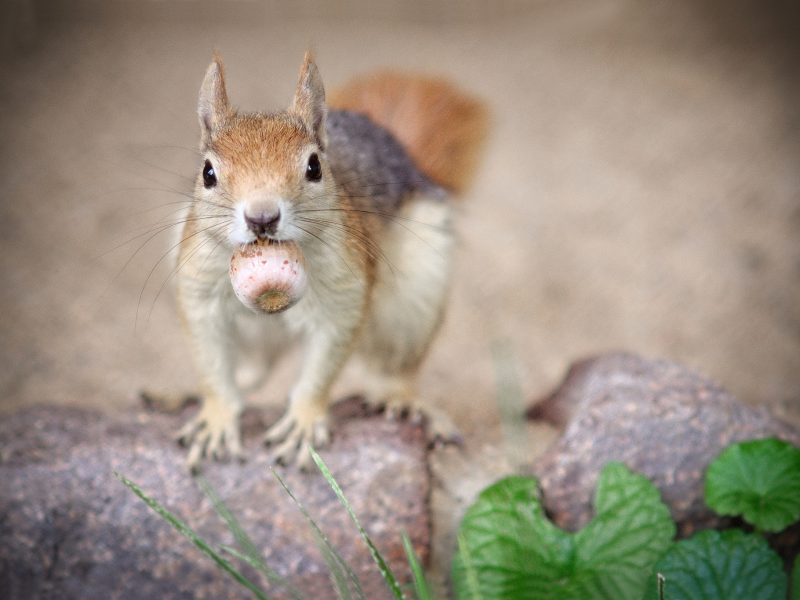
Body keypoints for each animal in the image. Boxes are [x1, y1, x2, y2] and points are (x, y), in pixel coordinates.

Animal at [176, 51, 488, 472]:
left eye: (314, 167)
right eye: (207, 172)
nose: (262, 217)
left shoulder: (346, 286)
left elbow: (327, 358)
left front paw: (304, 421)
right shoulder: (200, 286)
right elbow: (209, 357)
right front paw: (216, 418)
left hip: (414, 300)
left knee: (392, 370)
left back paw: (405, 402)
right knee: (259, 366)